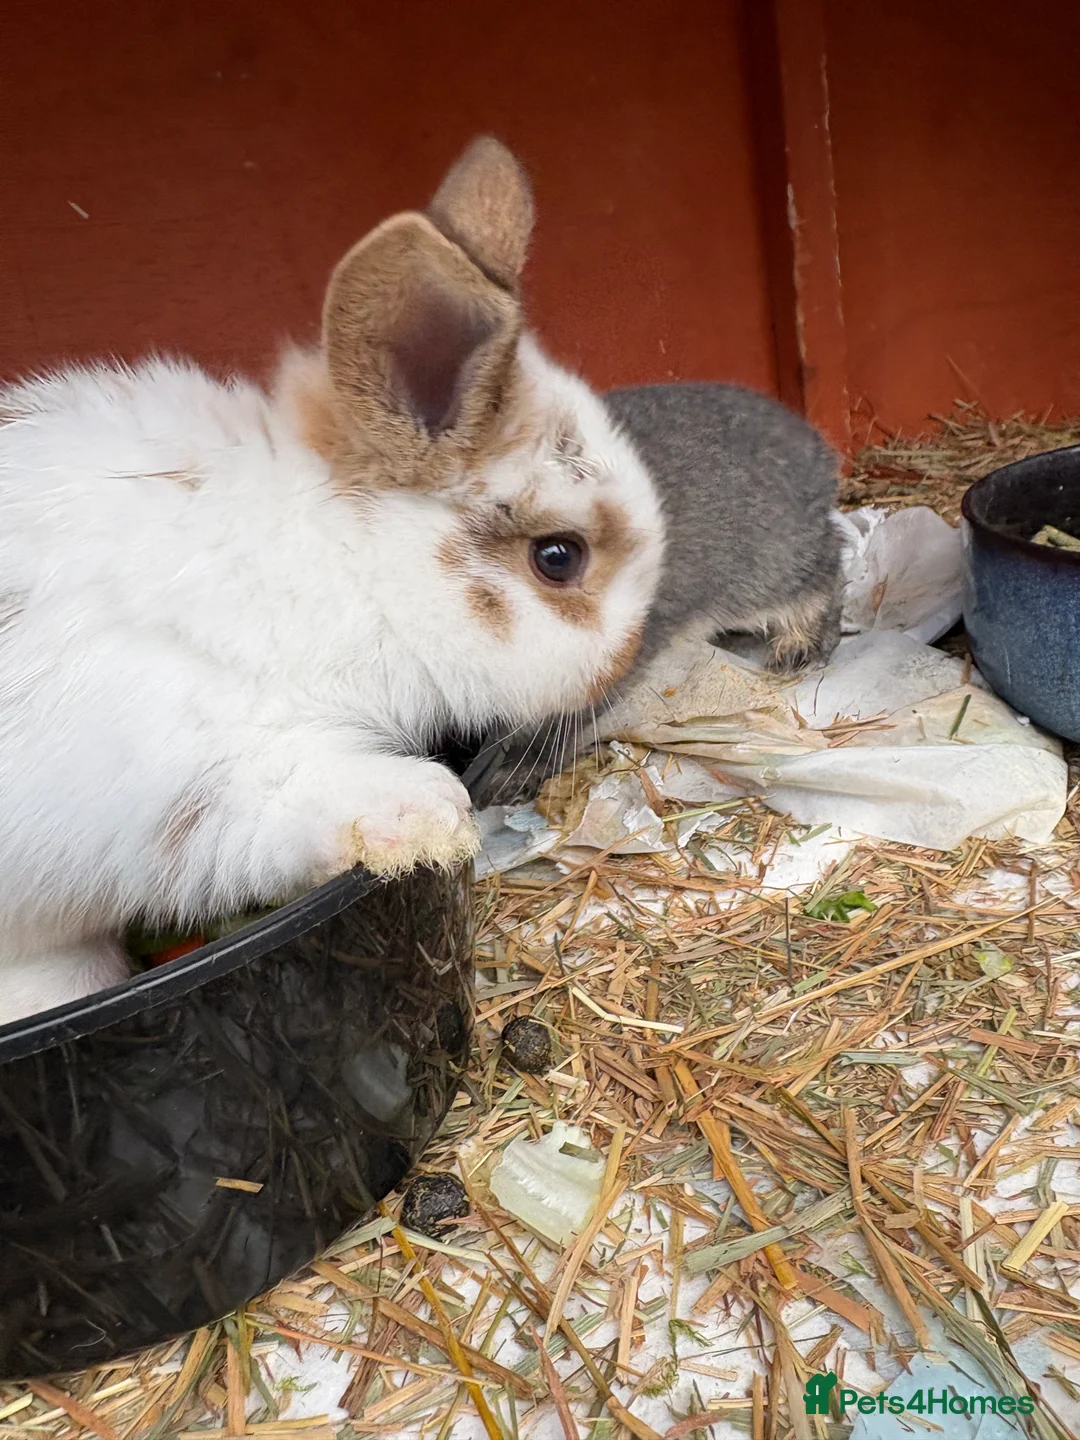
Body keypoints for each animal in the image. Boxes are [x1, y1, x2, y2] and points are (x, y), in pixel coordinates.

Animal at [0, 137, 665, 1025]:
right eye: (558, 558)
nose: (623, 660)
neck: (351, 565)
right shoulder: (210, 772)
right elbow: (296, 798)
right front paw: (430, 815)